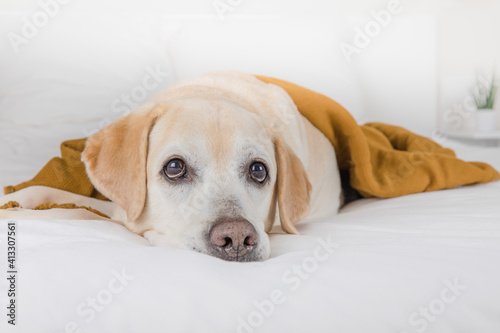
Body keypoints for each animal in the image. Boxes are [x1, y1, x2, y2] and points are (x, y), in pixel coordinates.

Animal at [0, 71, 342, 260]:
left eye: (258, 171)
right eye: (175, 168)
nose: (236, 239)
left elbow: (76, 213)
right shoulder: (121, 209)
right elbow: (51, 195)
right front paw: (15, 200)